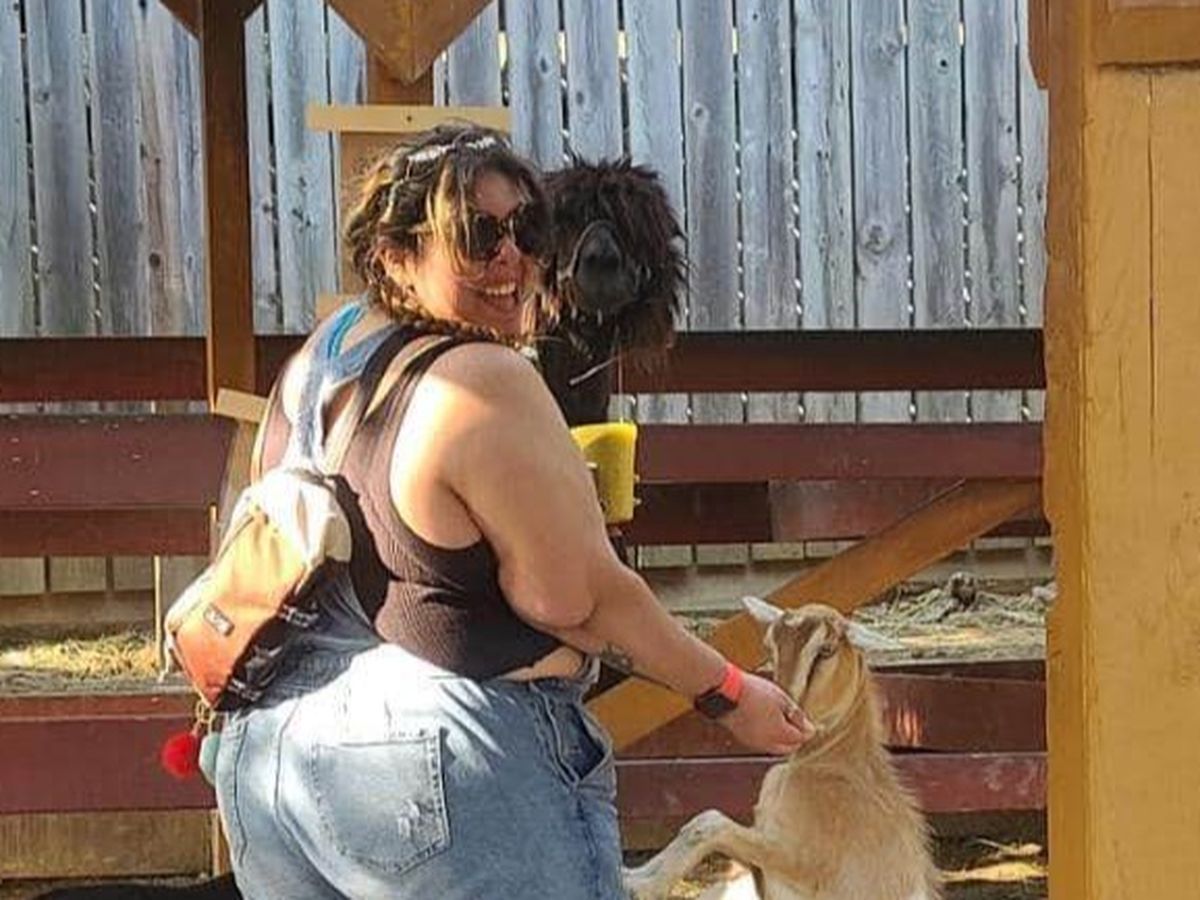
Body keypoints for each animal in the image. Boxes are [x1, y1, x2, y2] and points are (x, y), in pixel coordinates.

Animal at [624, 598, 941, 900]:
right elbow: (699, 823)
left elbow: (710, 823)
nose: (787, 713)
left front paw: (643, 885)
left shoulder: (802, 866)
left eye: (826, 650)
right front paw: (633, 875)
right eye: (770, 645)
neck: (832, 763)